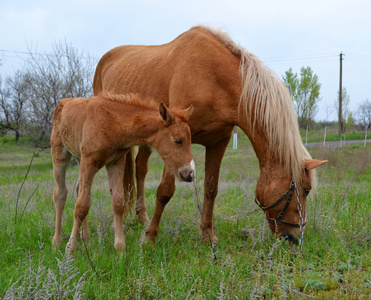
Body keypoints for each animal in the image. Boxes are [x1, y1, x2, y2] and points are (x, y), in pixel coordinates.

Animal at [51, 92, 195, 254]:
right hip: (60, 153)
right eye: (178, 140)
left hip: (79, 157)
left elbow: (118, 202)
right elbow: (82, 205)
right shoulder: (89, 161)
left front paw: (120, 248)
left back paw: (86, 237)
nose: (189, 173)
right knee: (60, 193)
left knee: (78, 188)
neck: (113, 124)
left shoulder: (116, 162)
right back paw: (57, 242)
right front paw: (71, 248)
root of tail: (63, 102)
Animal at [93, 25, 328, 245]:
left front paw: (207, 234)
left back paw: (141, 215)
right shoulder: (174, 142)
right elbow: (165, 191)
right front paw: (150, 238)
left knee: (140, 168)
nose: (295, 238)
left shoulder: (218, 143)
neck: (212, 76)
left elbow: (211, 189)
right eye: (306, 189)